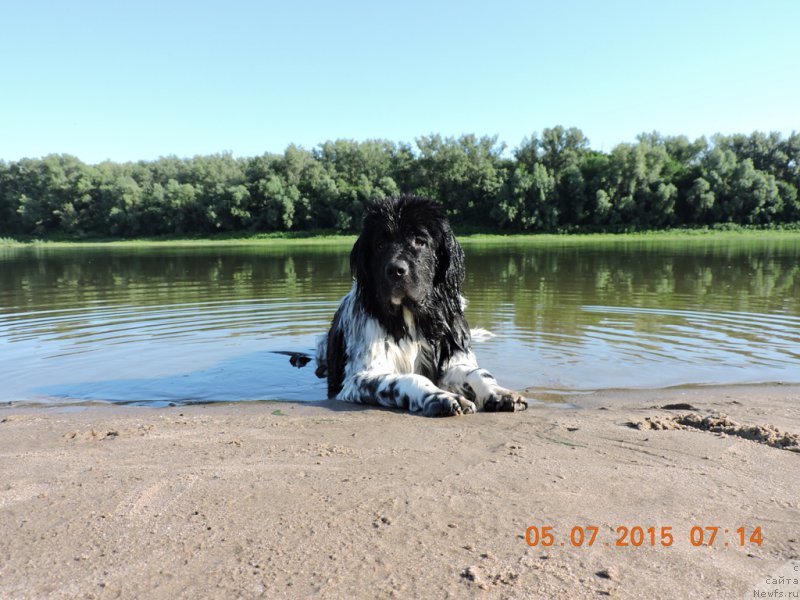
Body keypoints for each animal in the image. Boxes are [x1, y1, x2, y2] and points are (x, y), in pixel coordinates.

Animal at [316, 197, 528, 418]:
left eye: (420, 241)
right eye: (380, 245)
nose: (395, 270)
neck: (409, 317)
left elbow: (477, 372)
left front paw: (500, 393)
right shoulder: (359, 378)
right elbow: (410, 378)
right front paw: (443, 398)